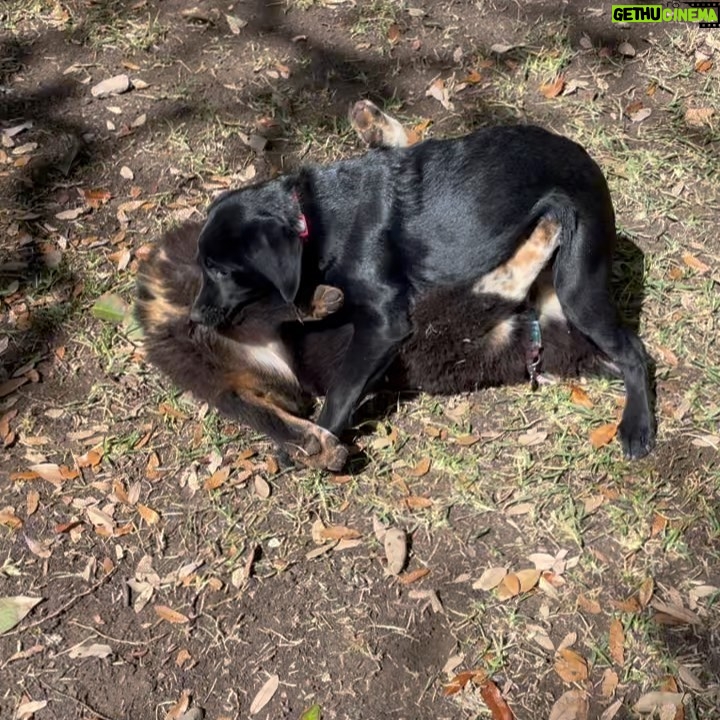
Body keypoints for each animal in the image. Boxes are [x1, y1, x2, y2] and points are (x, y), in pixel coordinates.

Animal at [188, 124, 656, 458]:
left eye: (220, 270)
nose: (193, 317)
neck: (312, 218)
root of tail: (589, 162)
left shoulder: (384, 324)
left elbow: (342, 389)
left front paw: (319, 440)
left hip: (579, 281)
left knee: (634, 351)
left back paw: (638, 427)